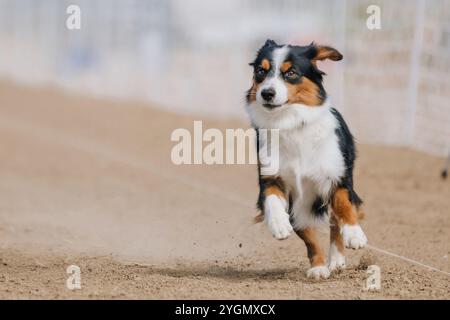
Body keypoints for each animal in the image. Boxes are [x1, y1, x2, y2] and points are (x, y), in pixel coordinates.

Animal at [244, 39, 368, 280]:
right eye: (260, 72)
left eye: (291, 73)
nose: (267, 93)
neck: (289, 122)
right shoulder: (272, 177)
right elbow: (274, 201)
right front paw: (279, 224)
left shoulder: (337, 175)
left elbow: (343, 207)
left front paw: (354, 235)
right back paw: (320, 266)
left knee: (334, 220)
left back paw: (337, 259)